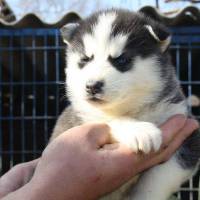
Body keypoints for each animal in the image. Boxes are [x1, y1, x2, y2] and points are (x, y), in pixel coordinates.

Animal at [50, 9, 200, 200]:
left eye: (121, 60)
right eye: (85, 59)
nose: (92, 86)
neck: (132, 108)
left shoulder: (186, 131)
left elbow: (157, 180)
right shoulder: (76, 121)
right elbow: (108, 119)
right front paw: (139, 130)